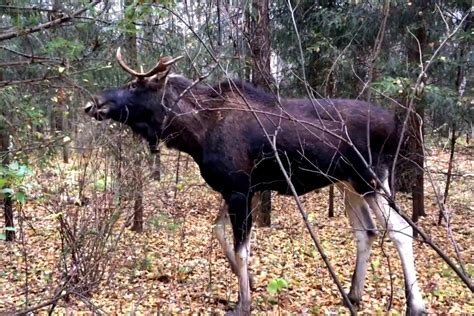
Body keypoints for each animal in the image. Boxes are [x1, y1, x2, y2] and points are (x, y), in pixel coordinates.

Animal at [84, 49, 426, 314]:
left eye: (133, 85)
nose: (93, 102)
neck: (194, 132)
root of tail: (398, 125)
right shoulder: (237, 188)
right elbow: (219, 231)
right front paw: (250, 283)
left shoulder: (239, 189)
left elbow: (241, 249)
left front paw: (243, 303)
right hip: (348, 184)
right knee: (366, 232)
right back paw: (353, 296)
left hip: (372, 178)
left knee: (401, 230)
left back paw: (415, 305)